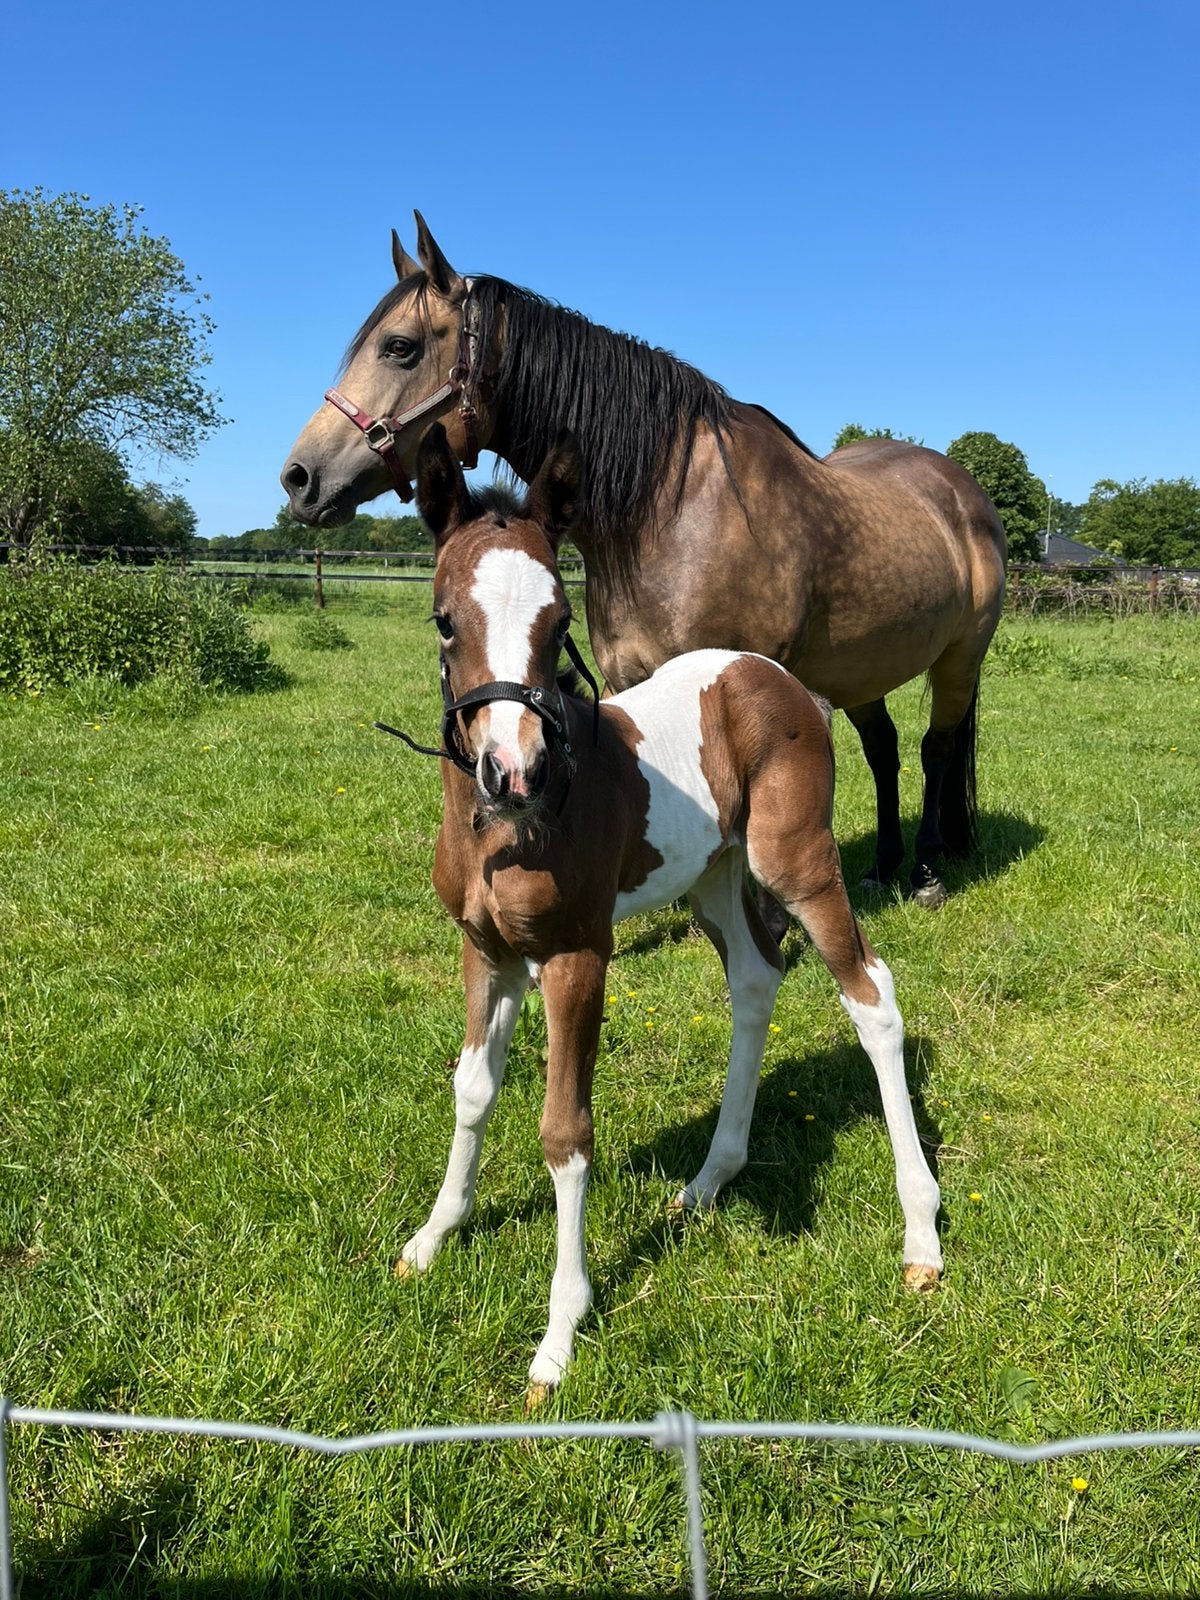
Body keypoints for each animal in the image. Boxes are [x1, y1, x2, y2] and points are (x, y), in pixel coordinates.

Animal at [282, 215, 1008, 910]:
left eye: (399, 347)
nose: (299, 477)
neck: (670, 510)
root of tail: (963, 490)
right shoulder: (629, 677)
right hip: (863, 669)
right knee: (884, 753)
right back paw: (882, 868)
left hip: (960, 658)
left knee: (936, 751)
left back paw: (924, 871)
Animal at [389, 422, 942, 1394]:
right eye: (445, 619)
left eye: (559, 622)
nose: (514, 773)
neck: (506, 833)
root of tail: (775, 675)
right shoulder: (487, 952)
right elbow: (472, 1088)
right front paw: (433, 1236)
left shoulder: (577, 956)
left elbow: (565, 1130)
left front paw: (559, 1332)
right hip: (715, 877)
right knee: (757, 980)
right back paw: (712, 1179)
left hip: (794, 862)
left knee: (871, 994)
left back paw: (922, 1232)